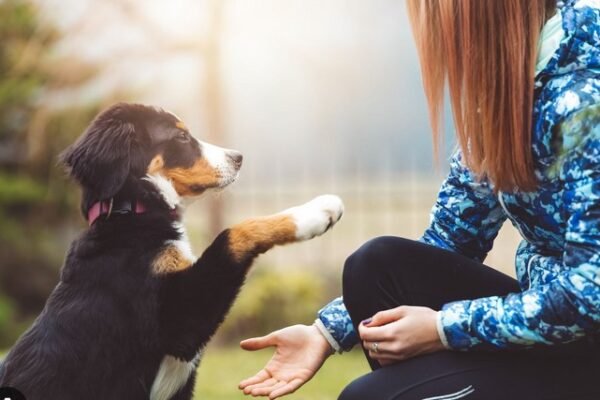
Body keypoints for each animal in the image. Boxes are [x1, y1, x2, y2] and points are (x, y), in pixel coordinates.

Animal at [0, 104, 344, 400]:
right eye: (180, 137)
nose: (238, 157)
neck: (131, 213)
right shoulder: (178, 321)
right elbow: (234, 232)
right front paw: (315, 213)